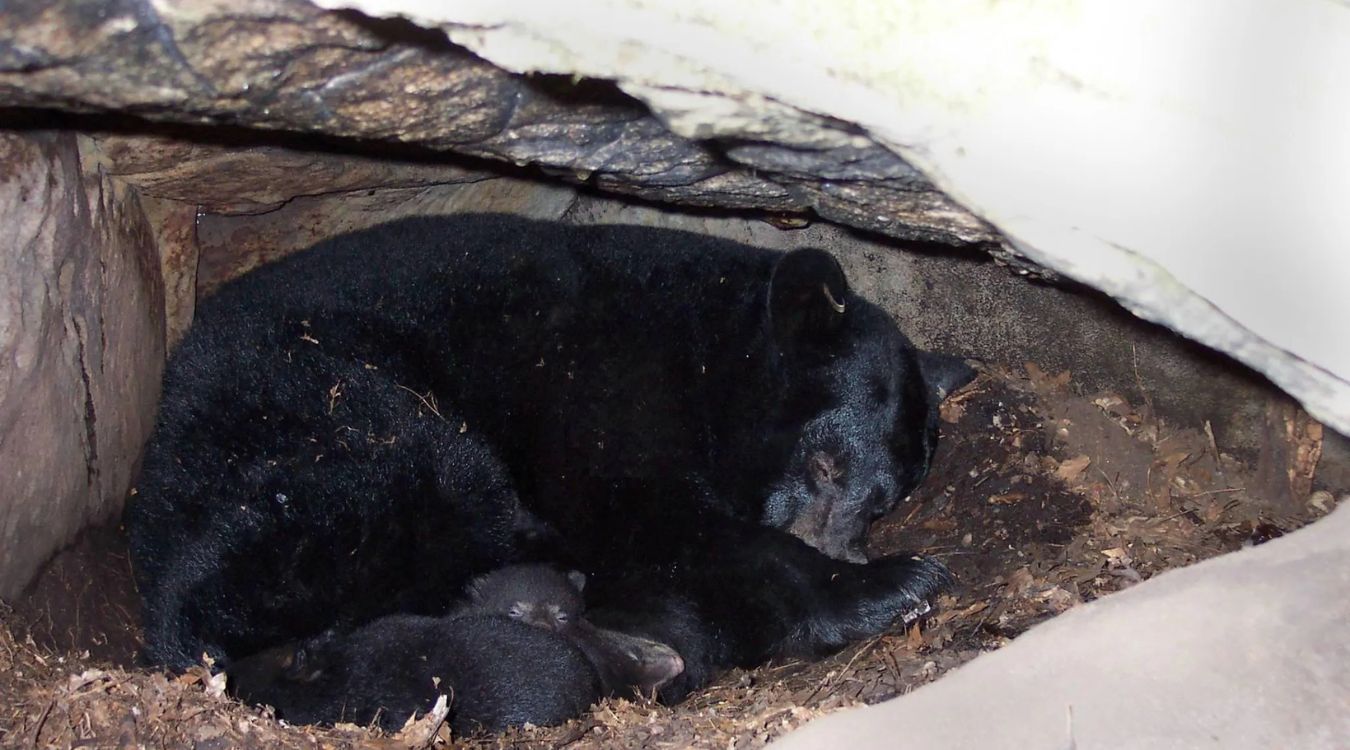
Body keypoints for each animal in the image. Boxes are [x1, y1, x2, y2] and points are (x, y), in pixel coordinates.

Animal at [126, 215, 974, 706]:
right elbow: (650, 511)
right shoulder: (602, 384)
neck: (707, 353)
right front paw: (890, 583)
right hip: (335, 424)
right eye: (826, 466)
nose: (844, 545)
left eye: (887, 499)